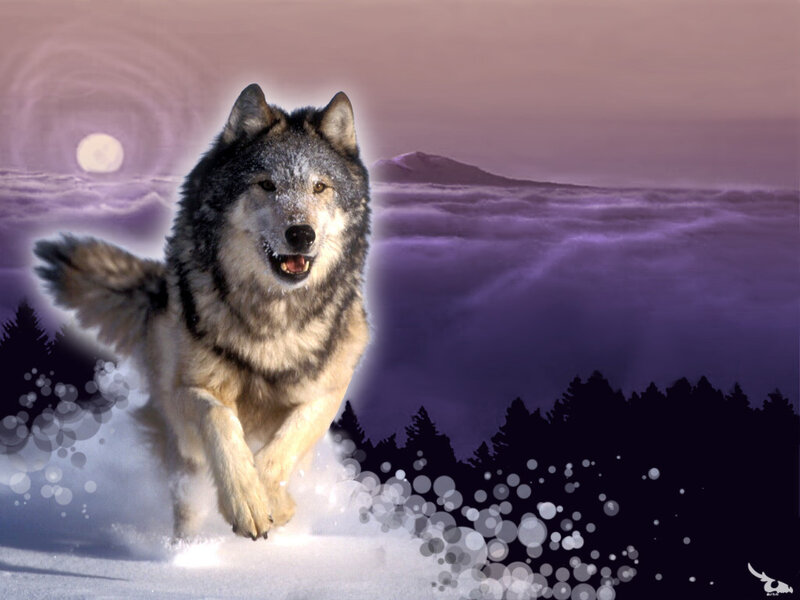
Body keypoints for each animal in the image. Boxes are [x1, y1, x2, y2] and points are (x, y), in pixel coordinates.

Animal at [34, 84, 371, 540]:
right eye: (267, 184)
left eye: (320, 187)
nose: (301, 234)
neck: (272, 320)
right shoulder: (184, 393)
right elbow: (220, 418)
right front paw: (247, 500)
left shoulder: (328, 390)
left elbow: (286, 442)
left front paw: (273, 502)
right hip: (181, 458)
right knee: (188, 504)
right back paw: (186, 550)